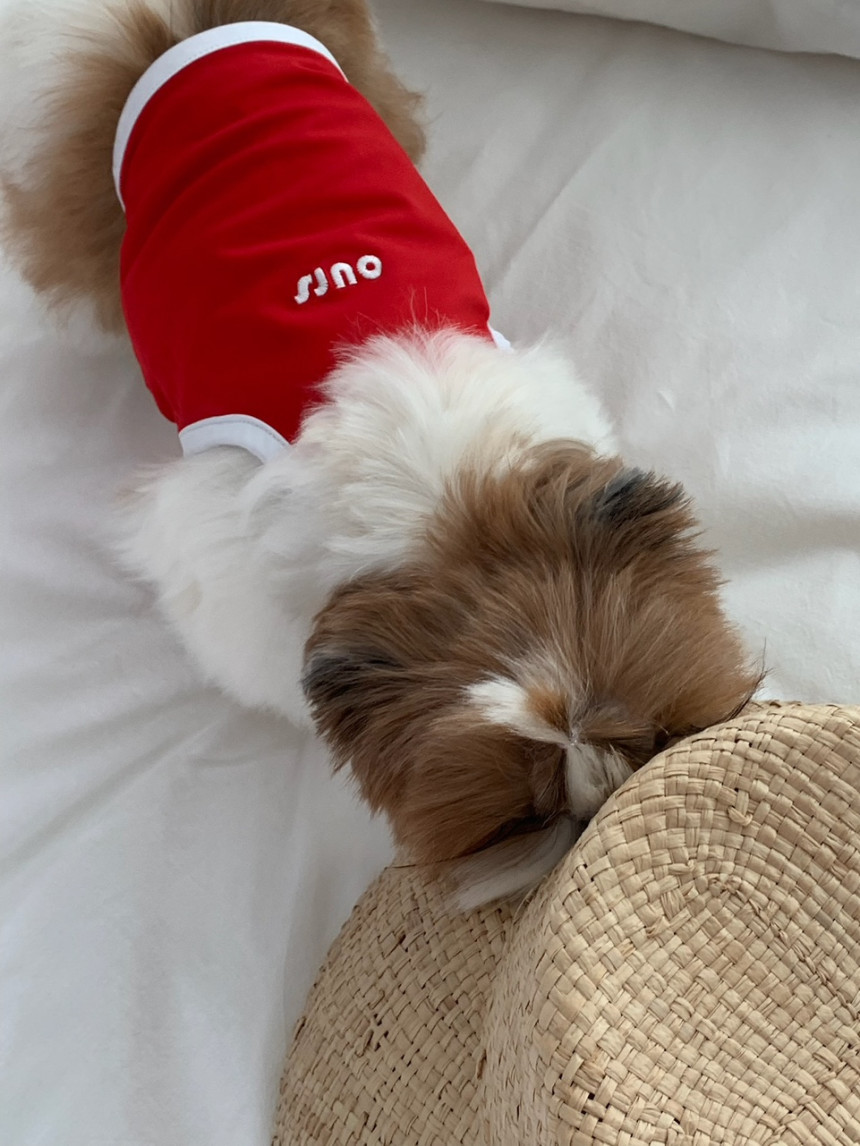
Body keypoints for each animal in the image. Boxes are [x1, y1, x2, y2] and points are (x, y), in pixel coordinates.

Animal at [0, 0, 761, 906]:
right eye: (520, 819)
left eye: (656, 732)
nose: (600, 806)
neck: (440, 520)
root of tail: (186, 30)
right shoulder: (218, 568)